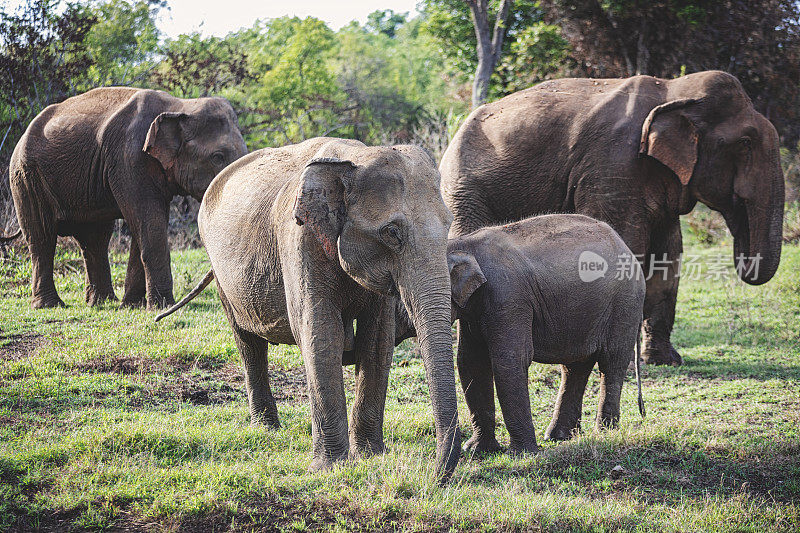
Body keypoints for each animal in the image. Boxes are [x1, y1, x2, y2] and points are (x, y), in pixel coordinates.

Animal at [7, 87, 247, 310]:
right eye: (217, 157)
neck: (180, 106)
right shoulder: (129, 158)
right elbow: (149, 223)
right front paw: (161, 307)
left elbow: (145, 227)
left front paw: (133, 305)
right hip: (26, 179)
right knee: (42, 237)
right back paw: (50, 305)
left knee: (95, 238)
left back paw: (102, 302)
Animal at [155, 137, 462, 482]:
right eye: (392, 233)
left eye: (449, 224)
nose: (434, 476)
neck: (353, 159)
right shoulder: (300, 240)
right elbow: (321, 332)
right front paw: (331, 467)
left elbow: (377, 341)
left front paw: (371, 456)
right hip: (221, 272)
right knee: (248, 342)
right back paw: (266, 429)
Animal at [444, 70, 788, 366]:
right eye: (745, 144)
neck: (675, 90)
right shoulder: (613, 164)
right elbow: (627, 245)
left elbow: (668, 255)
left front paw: (664, 360)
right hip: (464, 191)